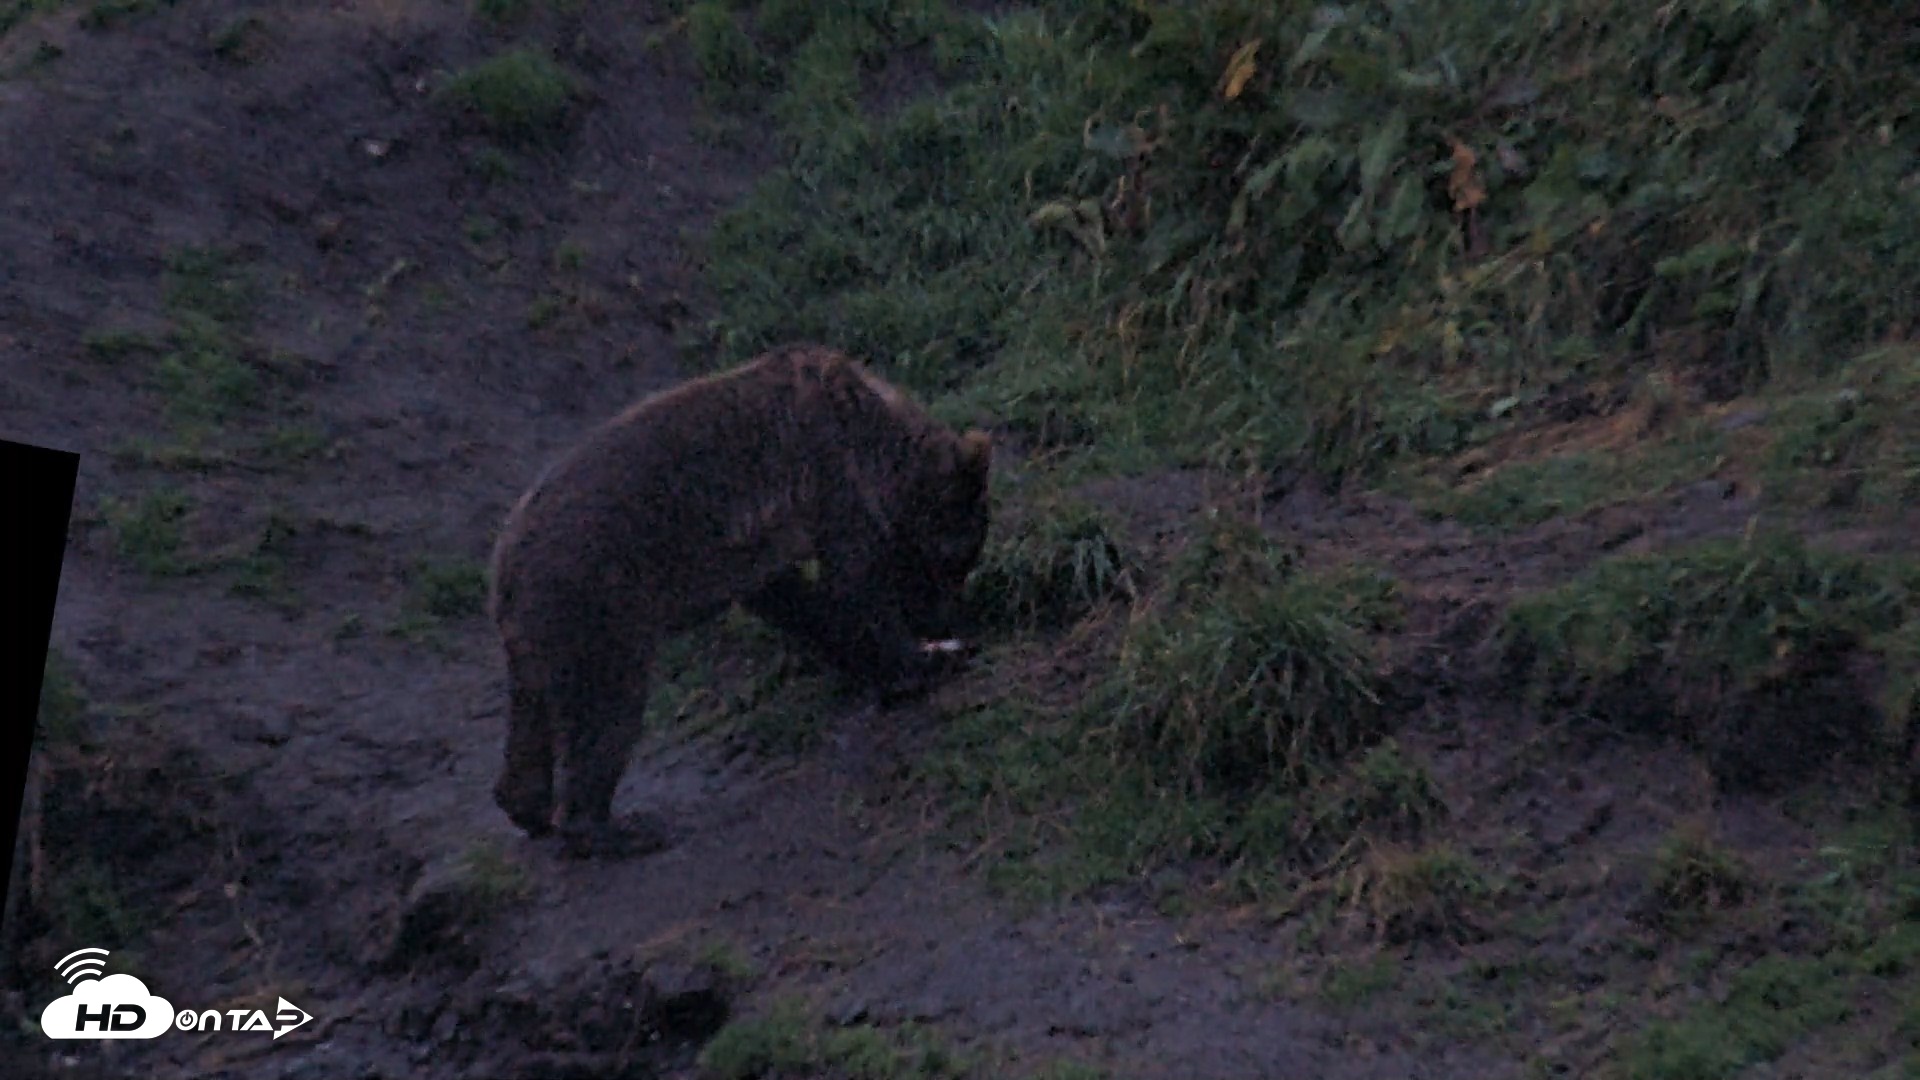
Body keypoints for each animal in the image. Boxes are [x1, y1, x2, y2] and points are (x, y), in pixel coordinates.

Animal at [487, 344, 993, 858]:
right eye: (957, 561)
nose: (950, 618)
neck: (878, 443)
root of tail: (503, 565)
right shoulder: (829, 474)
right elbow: (855, 583)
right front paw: (921, 663)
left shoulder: (763, 553)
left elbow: (803, 605)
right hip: (597, 600)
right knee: (608, 706)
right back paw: (615, 827)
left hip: (541, 634)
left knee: (533, 712)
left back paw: (527, 806)